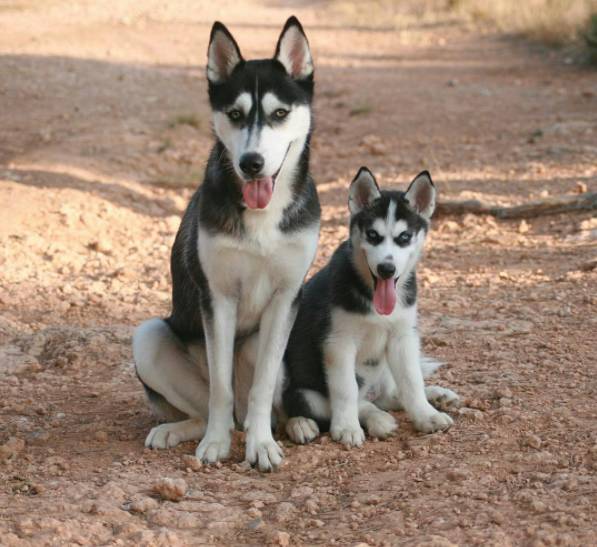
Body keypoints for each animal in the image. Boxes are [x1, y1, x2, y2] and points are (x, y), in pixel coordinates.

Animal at [134, 17, 322, 470]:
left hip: (264, 346)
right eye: (235, 114)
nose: (251, 163)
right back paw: (180, 430)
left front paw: (263, 446)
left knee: (266, 401)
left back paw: (292, 424)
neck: (262, 215)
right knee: (207, 409)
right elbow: (220, 387)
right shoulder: (217, 298)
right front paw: (216, 444)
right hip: (147, 338)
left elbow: (263, 386)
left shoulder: (285, 298)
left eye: (279, 114)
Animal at [282, 168, 458, 450]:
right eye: (373, 235)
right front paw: (347, 427)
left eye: (404, 238)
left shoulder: (402, 337)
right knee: (344, 403)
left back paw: (436, 396)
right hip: (304, 393)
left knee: (391, 395)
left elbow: (412, 381)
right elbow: (346, 390)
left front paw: (426, 415)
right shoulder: (338, 342)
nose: (387, 269)